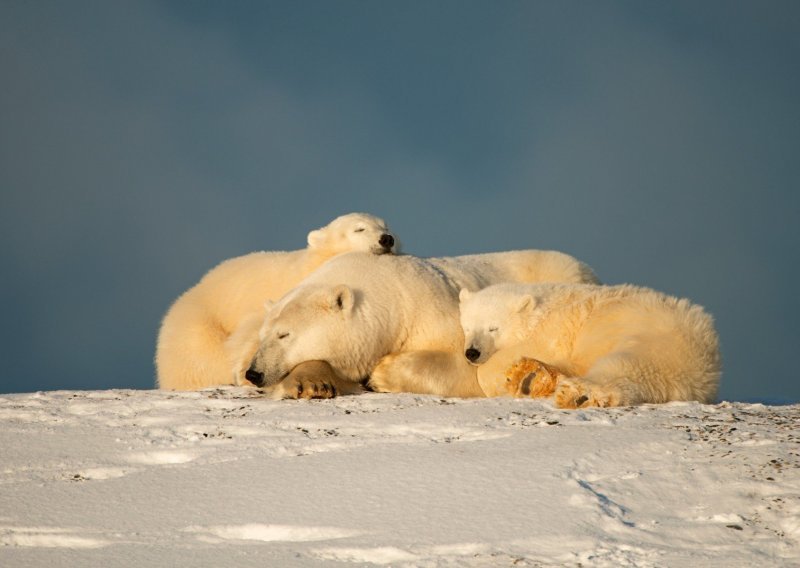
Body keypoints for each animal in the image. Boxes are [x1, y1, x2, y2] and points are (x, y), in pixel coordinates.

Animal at [154, 213, 400, 390]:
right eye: (359, 228)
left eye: (386, 227)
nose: (387, 239)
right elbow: (256, 330)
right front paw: (246, 374)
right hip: (199, 331)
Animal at [247, 253, 596, 400]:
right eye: (263, 335)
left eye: (284, 334)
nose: (254, 373)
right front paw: (311, 384)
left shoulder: (430, 308)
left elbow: (464, 369)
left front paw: (381, 374)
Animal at [456, 284, 724, 408]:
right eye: (467, 326)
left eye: (493, 328)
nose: (472, 352)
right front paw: (533, 376)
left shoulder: (556, 330)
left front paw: (514, 375)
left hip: (655, 339)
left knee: (624, 367)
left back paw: (578, 394)